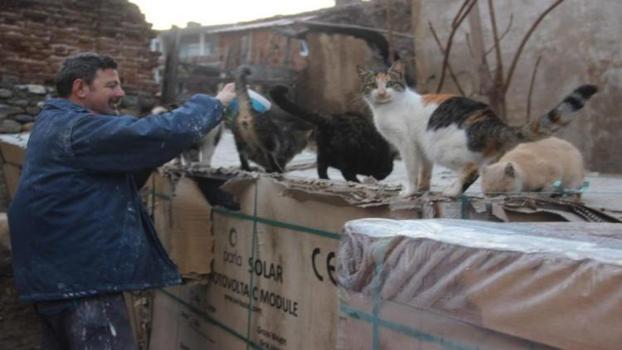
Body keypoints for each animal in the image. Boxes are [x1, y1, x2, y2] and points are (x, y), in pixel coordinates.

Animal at [360, 60, 600, 197]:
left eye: (390, 84)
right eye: (372, 85)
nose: (381, 92)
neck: (388, 107)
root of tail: (494, 122)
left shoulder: (407, 144)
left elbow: (411, 170)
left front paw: (409, 192)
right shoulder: (421, 149)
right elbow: (425, 172)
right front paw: (423, 190)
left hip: (442, 147)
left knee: (471, 168)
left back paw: (452, 192)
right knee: (477, 171)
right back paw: (453, 191)